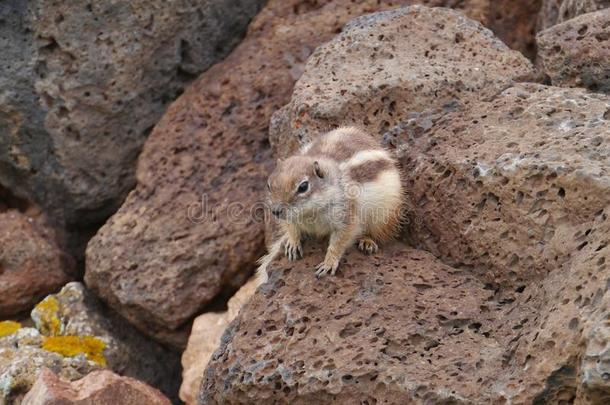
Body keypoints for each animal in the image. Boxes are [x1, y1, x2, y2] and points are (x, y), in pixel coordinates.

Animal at [256, 127, 404, 284]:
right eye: (269, 185)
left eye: (303, 187)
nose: (275, 211)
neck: (310, 212)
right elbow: (291, 228)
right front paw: (292, 242)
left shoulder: (346, 216)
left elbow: (339, 242)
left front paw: (328, 263)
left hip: (384, 215)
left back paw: (367, 241)